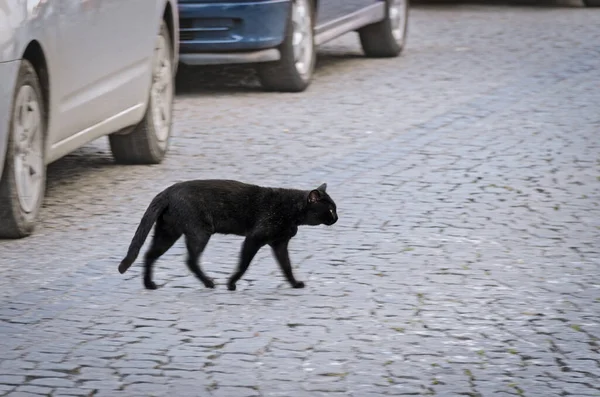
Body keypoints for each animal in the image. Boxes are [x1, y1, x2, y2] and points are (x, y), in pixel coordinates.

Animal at [116, 179, 338, 288]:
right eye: (329, 210)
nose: (337, 218)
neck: (292, 210)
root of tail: (167, 191)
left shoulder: (279, 243)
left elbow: (287, 267)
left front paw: (294, 283)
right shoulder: (254, 239)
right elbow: (243, 264)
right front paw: (231, 283)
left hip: (168, 233)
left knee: (149, 254)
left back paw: (149, 284)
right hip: (199, 233)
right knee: (190, 261)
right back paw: (208, 283)